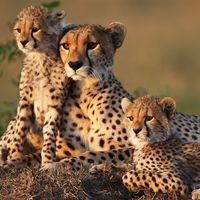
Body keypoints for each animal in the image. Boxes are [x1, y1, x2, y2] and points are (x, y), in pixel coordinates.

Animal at [0, 5, 72, 166]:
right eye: (18, 30)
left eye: (35, 29)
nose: (23, 42)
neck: (40, 57)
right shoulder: (25, 100)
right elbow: (20, 130)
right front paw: (15, 155)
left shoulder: (55, 103)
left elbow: (50, 132)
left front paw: (48, 160)